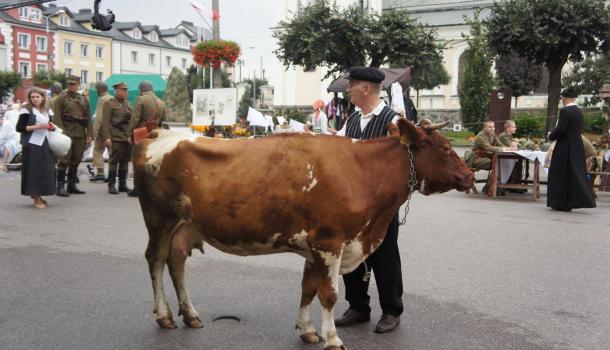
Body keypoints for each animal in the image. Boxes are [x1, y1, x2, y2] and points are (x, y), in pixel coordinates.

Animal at [133, 118, 472, 350]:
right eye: (445, 148)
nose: (470, 176)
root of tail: (158, 133)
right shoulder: (329, 240)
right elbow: (329, 293)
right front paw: (332, 338)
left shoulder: (314, 245)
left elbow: (308, 288)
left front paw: (308, 330)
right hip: (159, 220)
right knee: (155, 261)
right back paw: (164, 316)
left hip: (183, 227)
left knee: (176, 264)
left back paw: (189, 314)